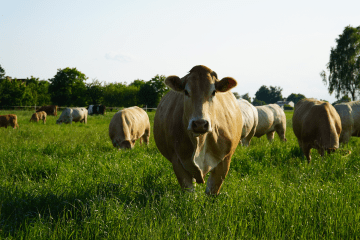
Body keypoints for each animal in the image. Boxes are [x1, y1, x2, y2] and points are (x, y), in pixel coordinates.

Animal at [153, 65, 243, 195]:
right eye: (186, 92)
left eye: (213, 92)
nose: (200, 124)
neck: (200, 141)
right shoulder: (178, 161)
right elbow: (189, 193)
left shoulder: (224, 161)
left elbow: (212, 192)